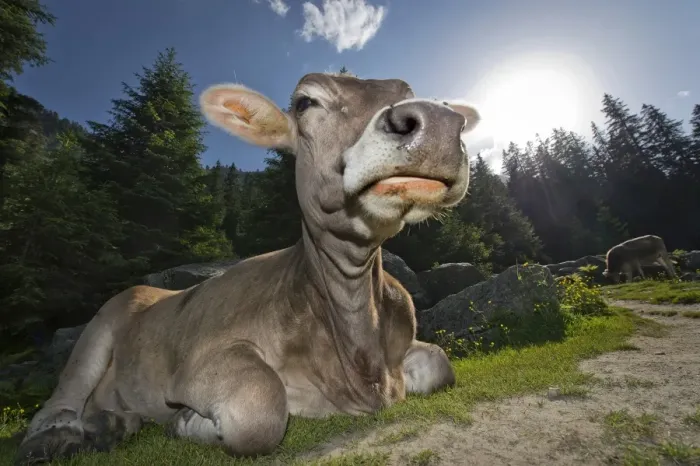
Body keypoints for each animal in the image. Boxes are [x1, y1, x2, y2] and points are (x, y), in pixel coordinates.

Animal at [15, 72, 481, 464]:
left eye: (407, 92)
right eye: (305, 102)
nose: (437, 122)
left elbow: (442, 365)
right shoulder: (205, 358)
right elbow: (261, 409)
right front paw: (185, 422)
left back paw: (113, 423)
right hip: (101, 325)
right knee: (57, 404)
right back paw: (65, 438)